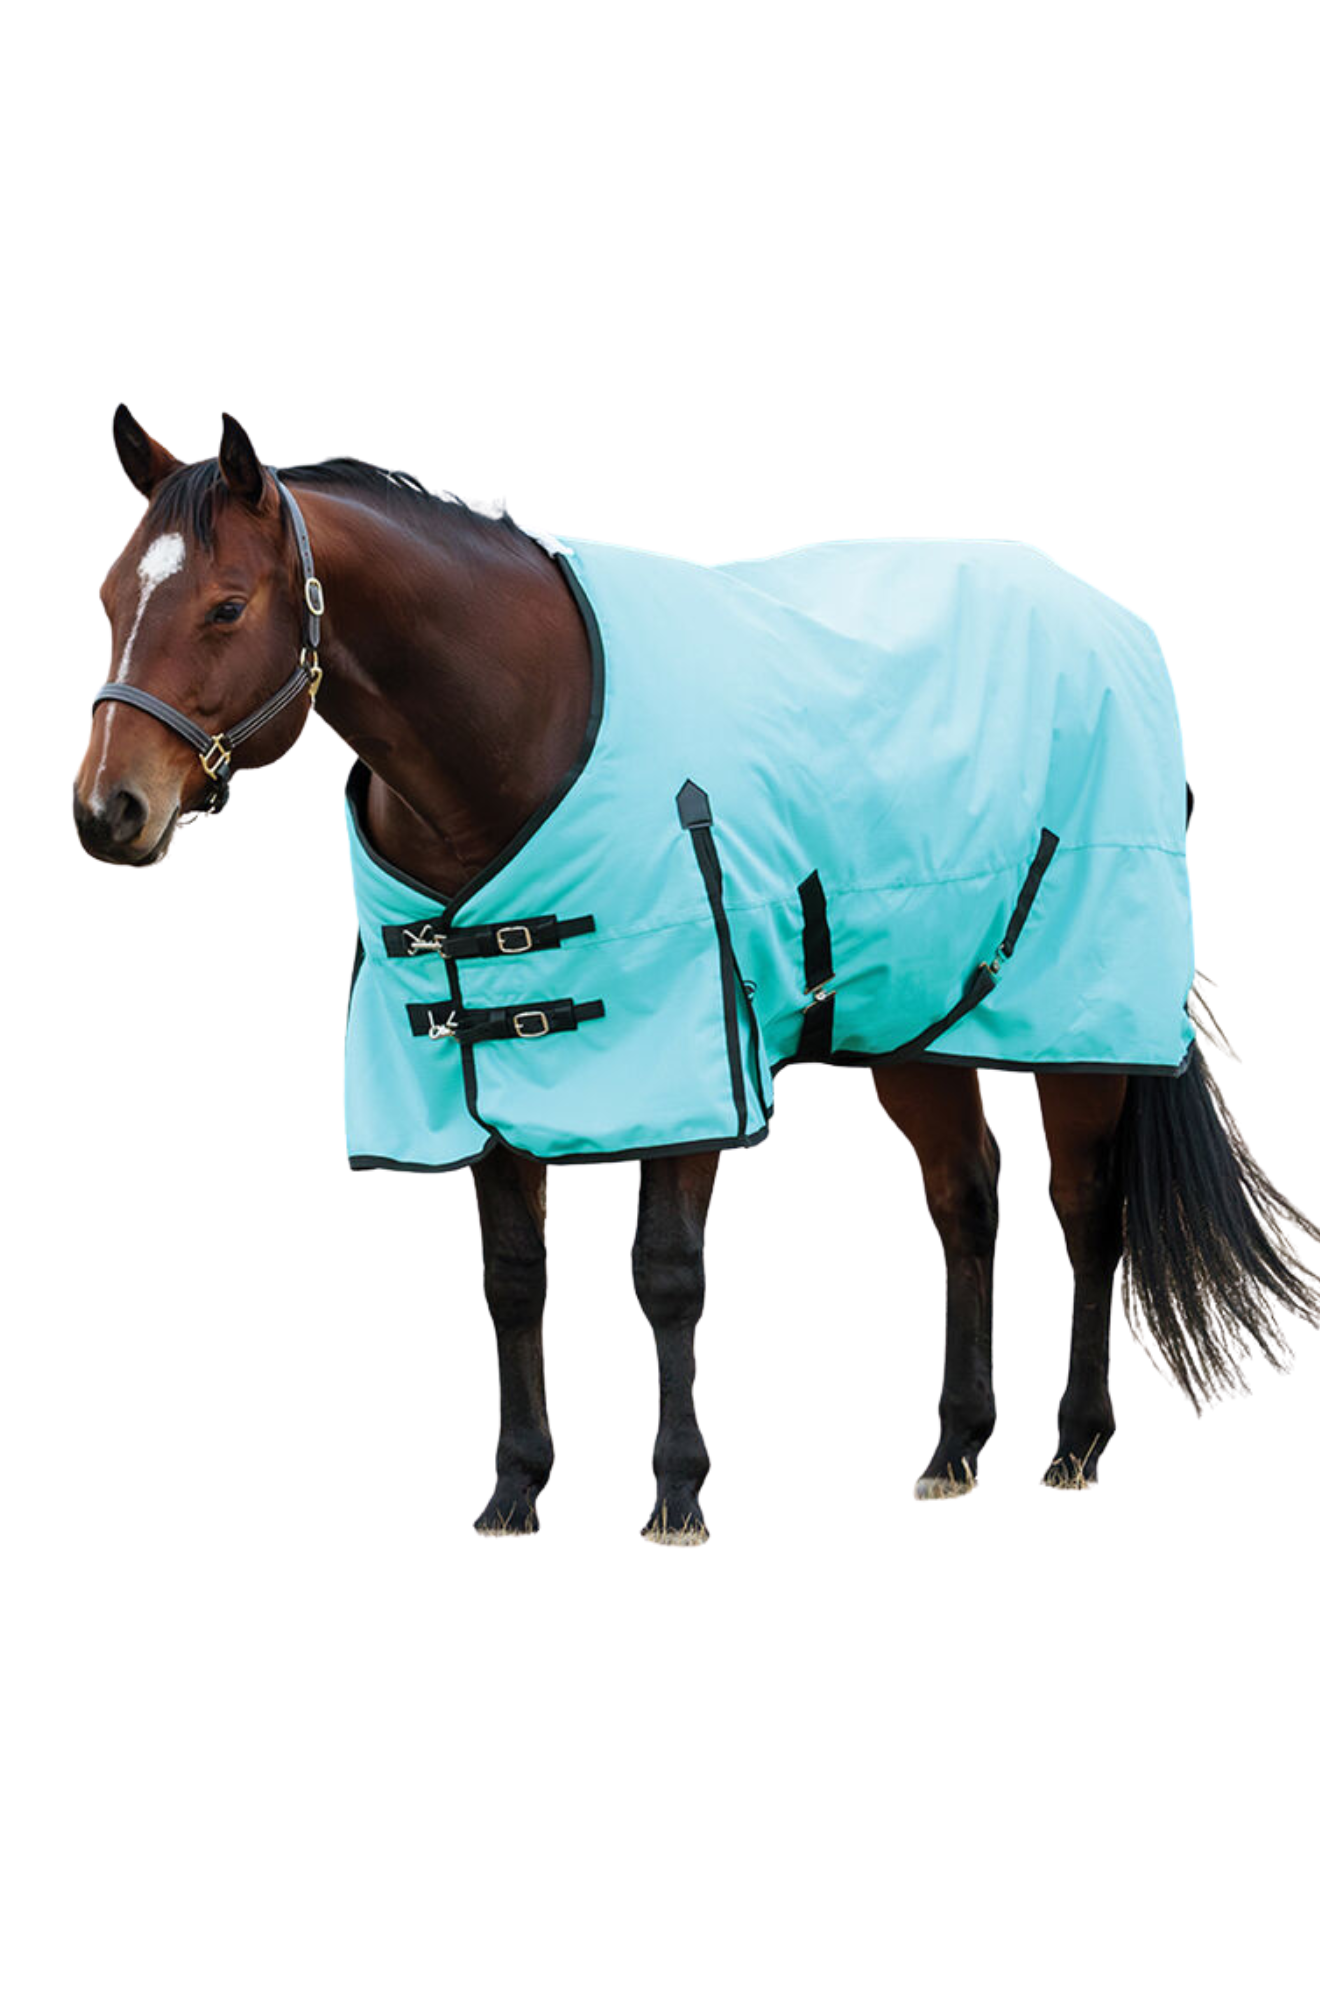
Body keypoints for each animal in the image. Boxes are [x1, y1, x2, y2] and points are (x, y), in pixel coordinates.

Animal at [73, 407, 1320, 1541]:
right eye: (110, 599)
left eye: (228, 605)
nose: (107, 809)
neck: (517, 728)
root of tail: (1107, 614)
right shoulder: (477, 1066)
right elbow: (513, 1275)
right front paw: (513, 1492)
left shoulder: (689, 1047)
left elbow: (668, 1270)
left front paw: (675, 1495)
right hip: (915, 1023)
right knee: (966, 1203)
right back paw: (955, 1451)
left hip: (1074, 1020)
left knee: (1087, 1207)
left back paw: (1073, 1444)